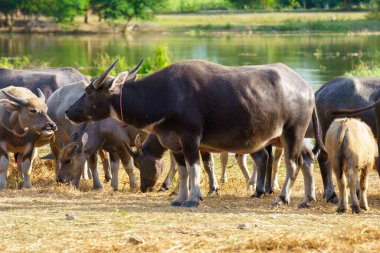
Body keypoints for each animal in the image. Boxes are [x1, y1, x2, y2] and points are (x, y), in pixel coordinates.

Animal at [65, 59, 324, 208]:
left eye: (89, 92)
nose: (68, 111)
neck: (164, 95)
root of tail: (305, 87)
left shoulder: (191, 139)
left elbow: (195, 168)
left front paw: (193, 198)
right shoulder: (175, 143)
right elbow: (182, 171)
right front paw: (180, 198)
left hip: (292, 132)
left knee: (293, 163)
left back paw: (282, 197)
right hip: (294, 137)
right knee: (307, 159)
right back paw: (307, 199)